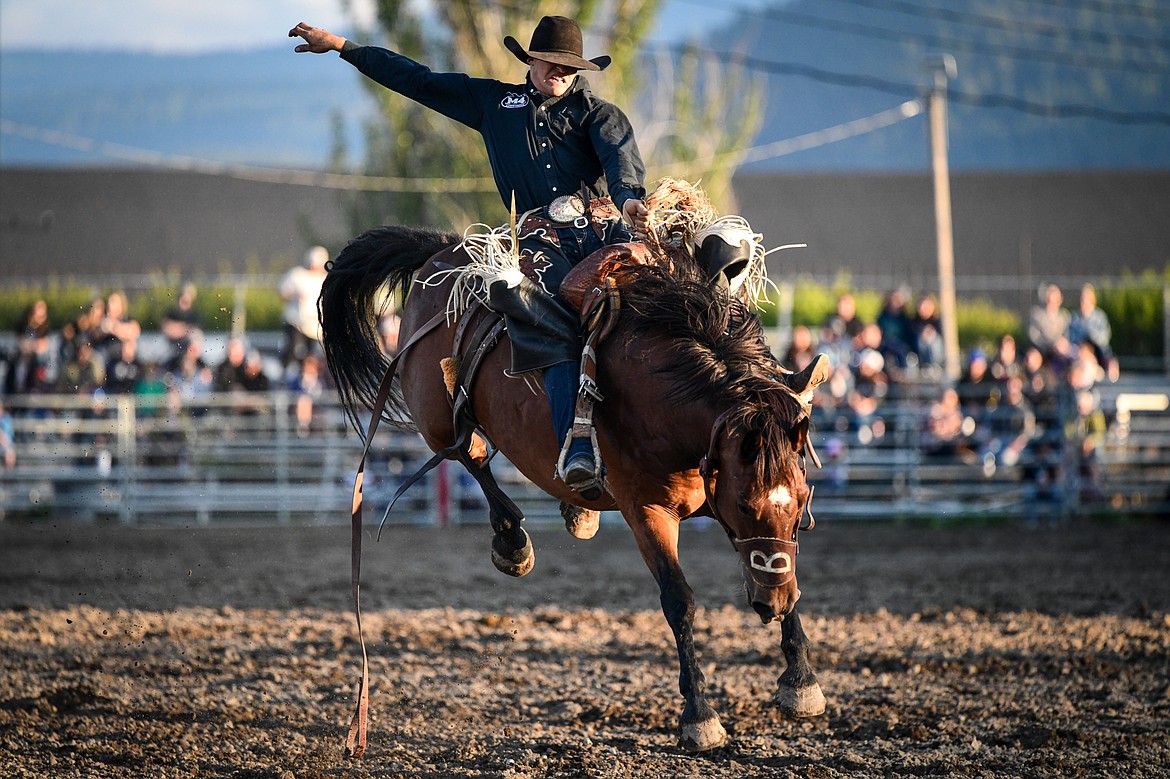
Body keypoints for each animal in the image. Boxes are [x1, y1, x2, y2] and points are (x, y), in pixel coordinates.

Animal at [320, 223, 833, 748]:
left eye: (801, 505)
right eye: (747, 505)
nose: (771, 605)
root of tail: (442, 252)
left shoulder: (721, 503)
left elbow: (782, 571)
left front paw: (801, 682)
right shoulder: (647, 511)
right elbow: (679, 600)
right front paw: (699, 716)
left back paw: (576, 513)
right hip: (436, 417)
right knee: (471, 455)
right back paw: (514, 541)